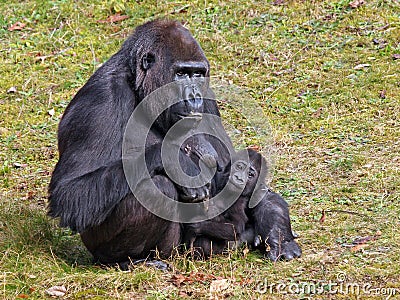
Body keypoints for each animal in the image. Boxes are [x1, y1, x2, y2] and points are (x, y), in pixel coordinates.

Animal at [47, 19, 300, 266]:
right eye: (181, 73)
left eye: (197, 74)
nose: (194, 96)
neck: (137, 85)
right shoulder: (101, 99)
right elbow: (72, 192)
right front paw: (175, 159)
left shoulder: (208, 96)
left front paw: (279, 237)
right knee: (155, 186)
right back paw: (126, 260)